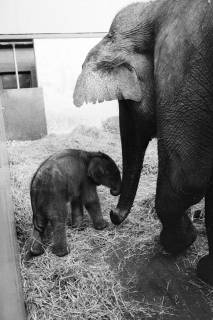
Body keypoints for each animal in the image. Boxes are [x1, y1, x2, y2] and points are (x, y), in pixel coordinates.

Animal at [73, 0, 213, 284]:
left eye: (125, 102)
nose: (113, 214)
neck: (152, 7)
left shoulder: (184, 49)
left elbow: (186, 177)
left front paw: (181, 243)